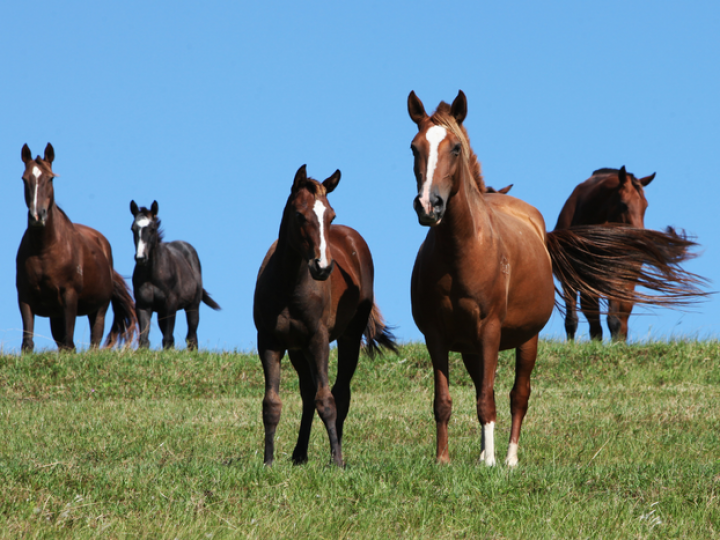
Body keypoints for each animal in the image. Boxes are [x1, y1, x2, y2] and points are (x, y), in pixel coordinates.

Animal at [16, 143, 138, 352]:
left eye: (50, 178)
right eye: (24, 179)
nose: (38, 216)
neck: (44, 251)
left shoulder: (70, 295)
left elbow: (69, 341)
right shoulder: (25, 297)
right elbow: (28, 343)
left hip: (99, 309)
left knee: (94, 338)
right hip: (55, 314)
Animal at [129, 200, 219, 348]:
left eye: (152, 228)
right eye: (133, 228)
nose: (141, 258)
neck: (152, 275)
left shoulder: (170, 305)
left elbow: (168, 338)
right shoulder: (143, 305)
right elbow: (144, 339)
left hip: (193, 306)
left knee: (192, 336)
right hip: (161, 312)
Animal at [255, 166, 400, 468]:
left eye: (331, 215)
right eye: (300, 214)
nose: (322, 267)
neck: (288, 286)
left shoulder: (319, 340)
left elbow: (327, 399)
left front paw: (337, 461)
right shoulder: (269, 342)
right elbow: (272, 403)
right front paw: (268, 461)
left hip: (348, 338)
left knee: (340, 393)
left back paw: (337, 453)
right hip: (298, 349)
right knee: (308, 393)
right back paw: (300, 453)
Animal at [556, 167, 660, 340]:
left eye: (645, 206)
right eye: (624, 205)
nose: (640, 241)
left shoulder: (613, 276)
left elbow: (614, 320)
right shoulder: (569, 278)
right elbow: (573, 320)